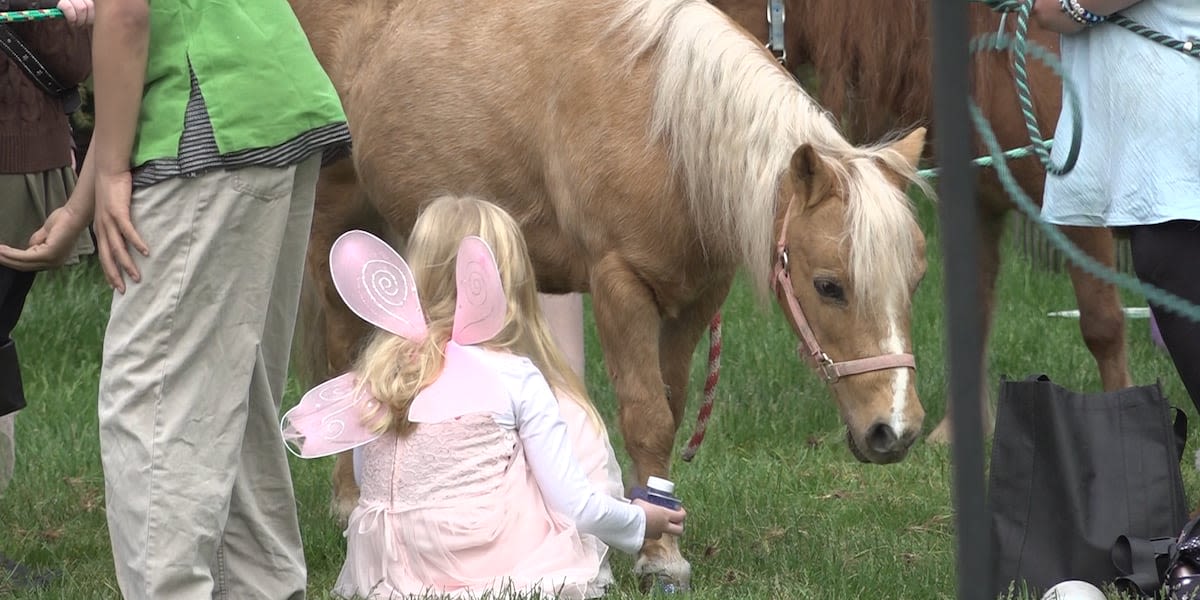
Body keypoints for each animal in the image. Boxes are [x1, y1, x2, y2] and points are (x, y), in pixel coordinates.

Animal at [288, 0, 926, 585]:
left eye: (915, 280)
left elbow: (670, 408)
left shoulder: (694, 299)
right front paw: (658, 556)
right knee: (345, 357)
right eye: (829, 286)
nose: (895, 431)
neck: (663, 130)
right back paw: (349, 502)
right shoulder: (620, 284)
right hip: (337, 229)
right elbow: (646, 416)